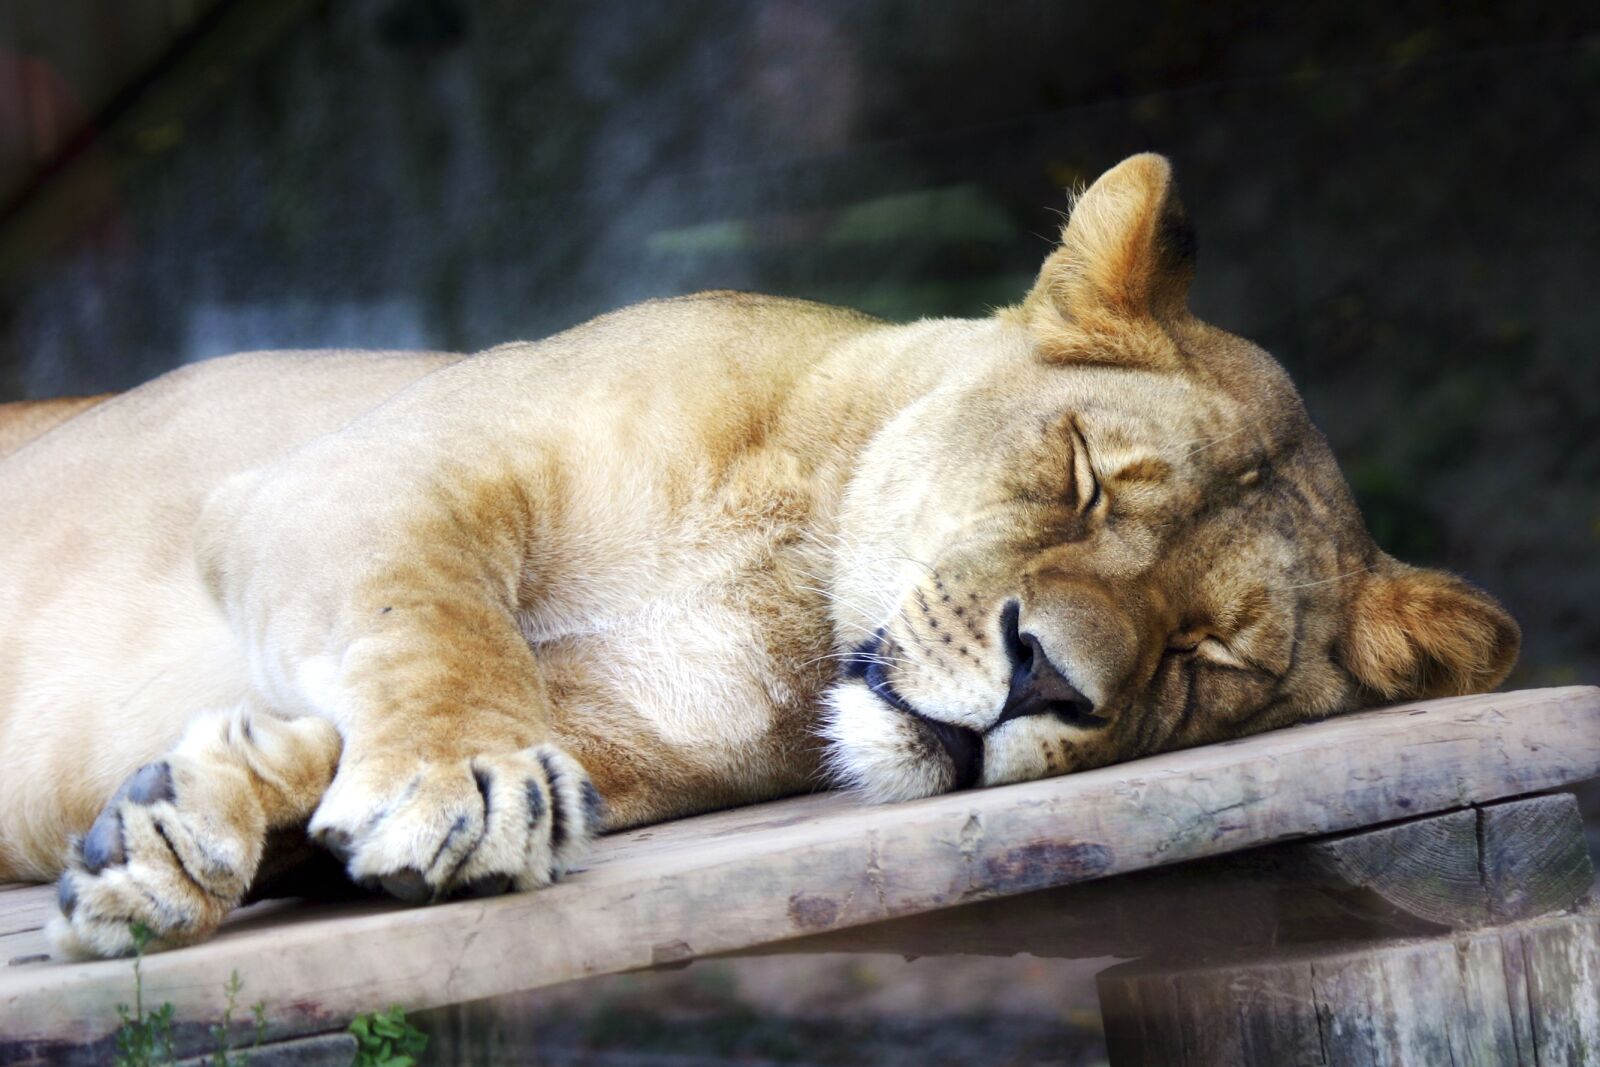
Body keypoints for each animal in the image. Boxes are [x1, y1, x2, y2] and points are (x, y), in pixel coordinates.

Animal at [0, 154, 1518, 959]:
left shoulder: (623, 745)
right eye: (1082, 477)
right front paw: (451, 778)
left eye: (1208, 656)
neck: (778, 594)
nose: (1041, 677)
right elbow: (429, 616)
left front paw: (174, 821)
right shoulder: (344, 475)